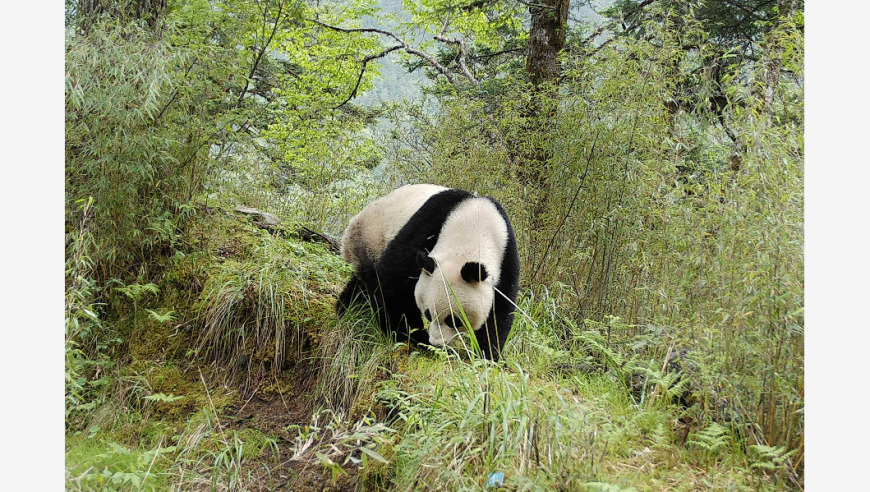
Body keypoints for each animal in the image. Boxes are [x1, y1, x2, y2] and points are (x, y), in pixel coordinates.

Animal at [338, 184, 516, 362]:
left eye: (454, 320)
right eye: (428, 314)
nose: (438, 343)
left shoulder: (505, 257)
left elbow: (500, 309)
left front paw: (487, 355)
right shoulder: (428, 227)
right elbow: (393, 279)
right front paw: (411, 335)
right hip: (370, 239)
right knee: (371, 281)